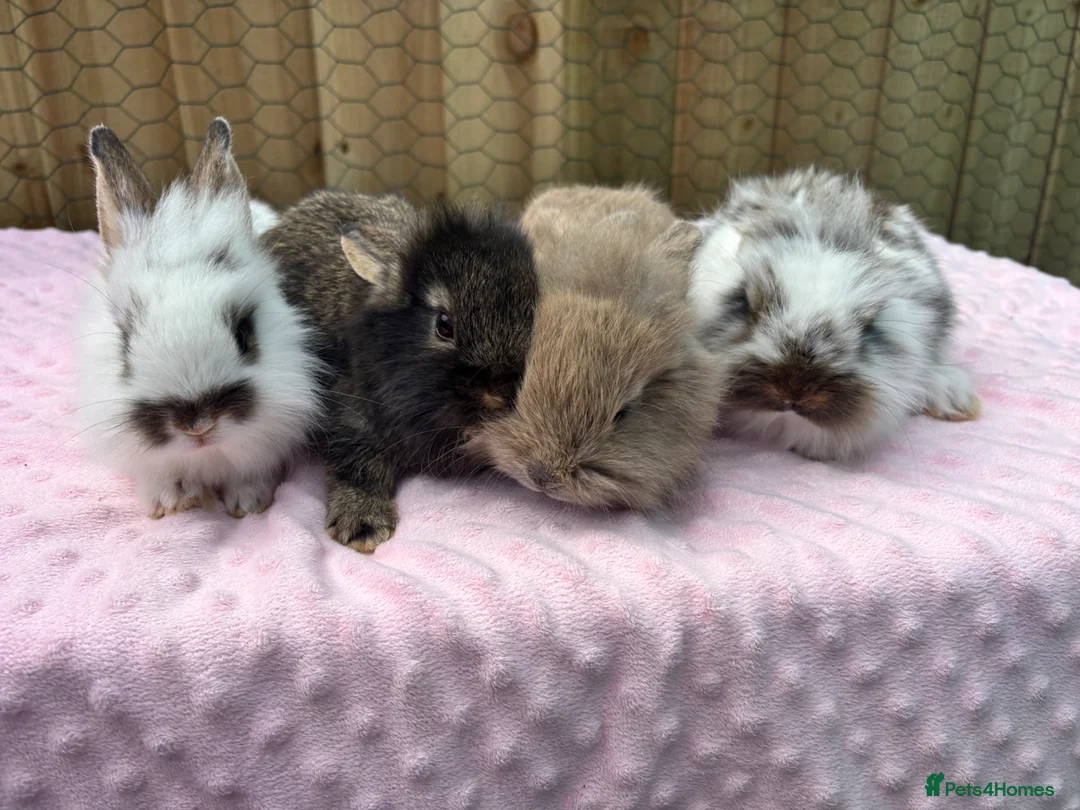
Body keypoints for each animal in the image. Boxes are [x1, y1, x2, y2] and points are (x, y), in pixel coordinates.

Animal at [263, 190, 539, 552]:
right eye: (444, 325)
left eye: (535, 315)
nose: (498, 394)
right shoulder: (350, 421)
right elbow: (360, 468)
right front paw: (362, 527)